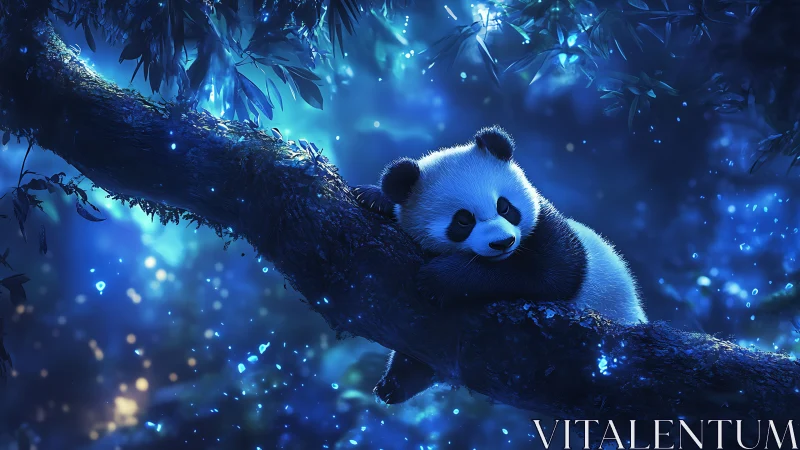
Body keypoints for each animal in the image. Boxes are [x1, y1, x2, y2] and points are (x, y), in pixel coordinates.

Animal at [352, 125, 647, 405]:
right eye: (463, 220)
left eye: (504, 207)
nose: (503, 242)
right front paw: (373, 197)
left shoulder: (549, 231)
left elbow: (550, 274)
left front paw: (439, 278)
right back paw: (394, 384)